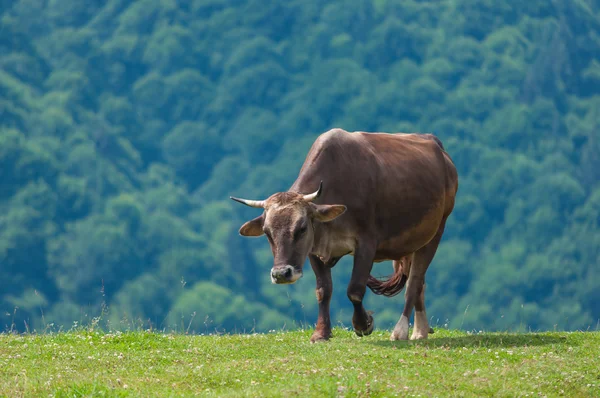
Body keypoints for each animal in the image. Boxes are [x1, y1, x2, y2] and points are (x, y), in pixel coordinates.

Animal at [232, 128, 458, 342]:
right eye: (267, 232)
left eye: (302, 228)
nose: (281, 274)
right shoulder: (315, 248)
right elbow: (323, 290)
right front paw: (321, 333)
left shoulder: (366, 243)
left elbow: (355, 290)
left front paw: (364, 324)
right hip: (411, 241)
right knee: (419, 283)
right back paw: (421, 330)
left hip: (437, 229)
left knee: (414, 282)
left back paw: (401, 331)